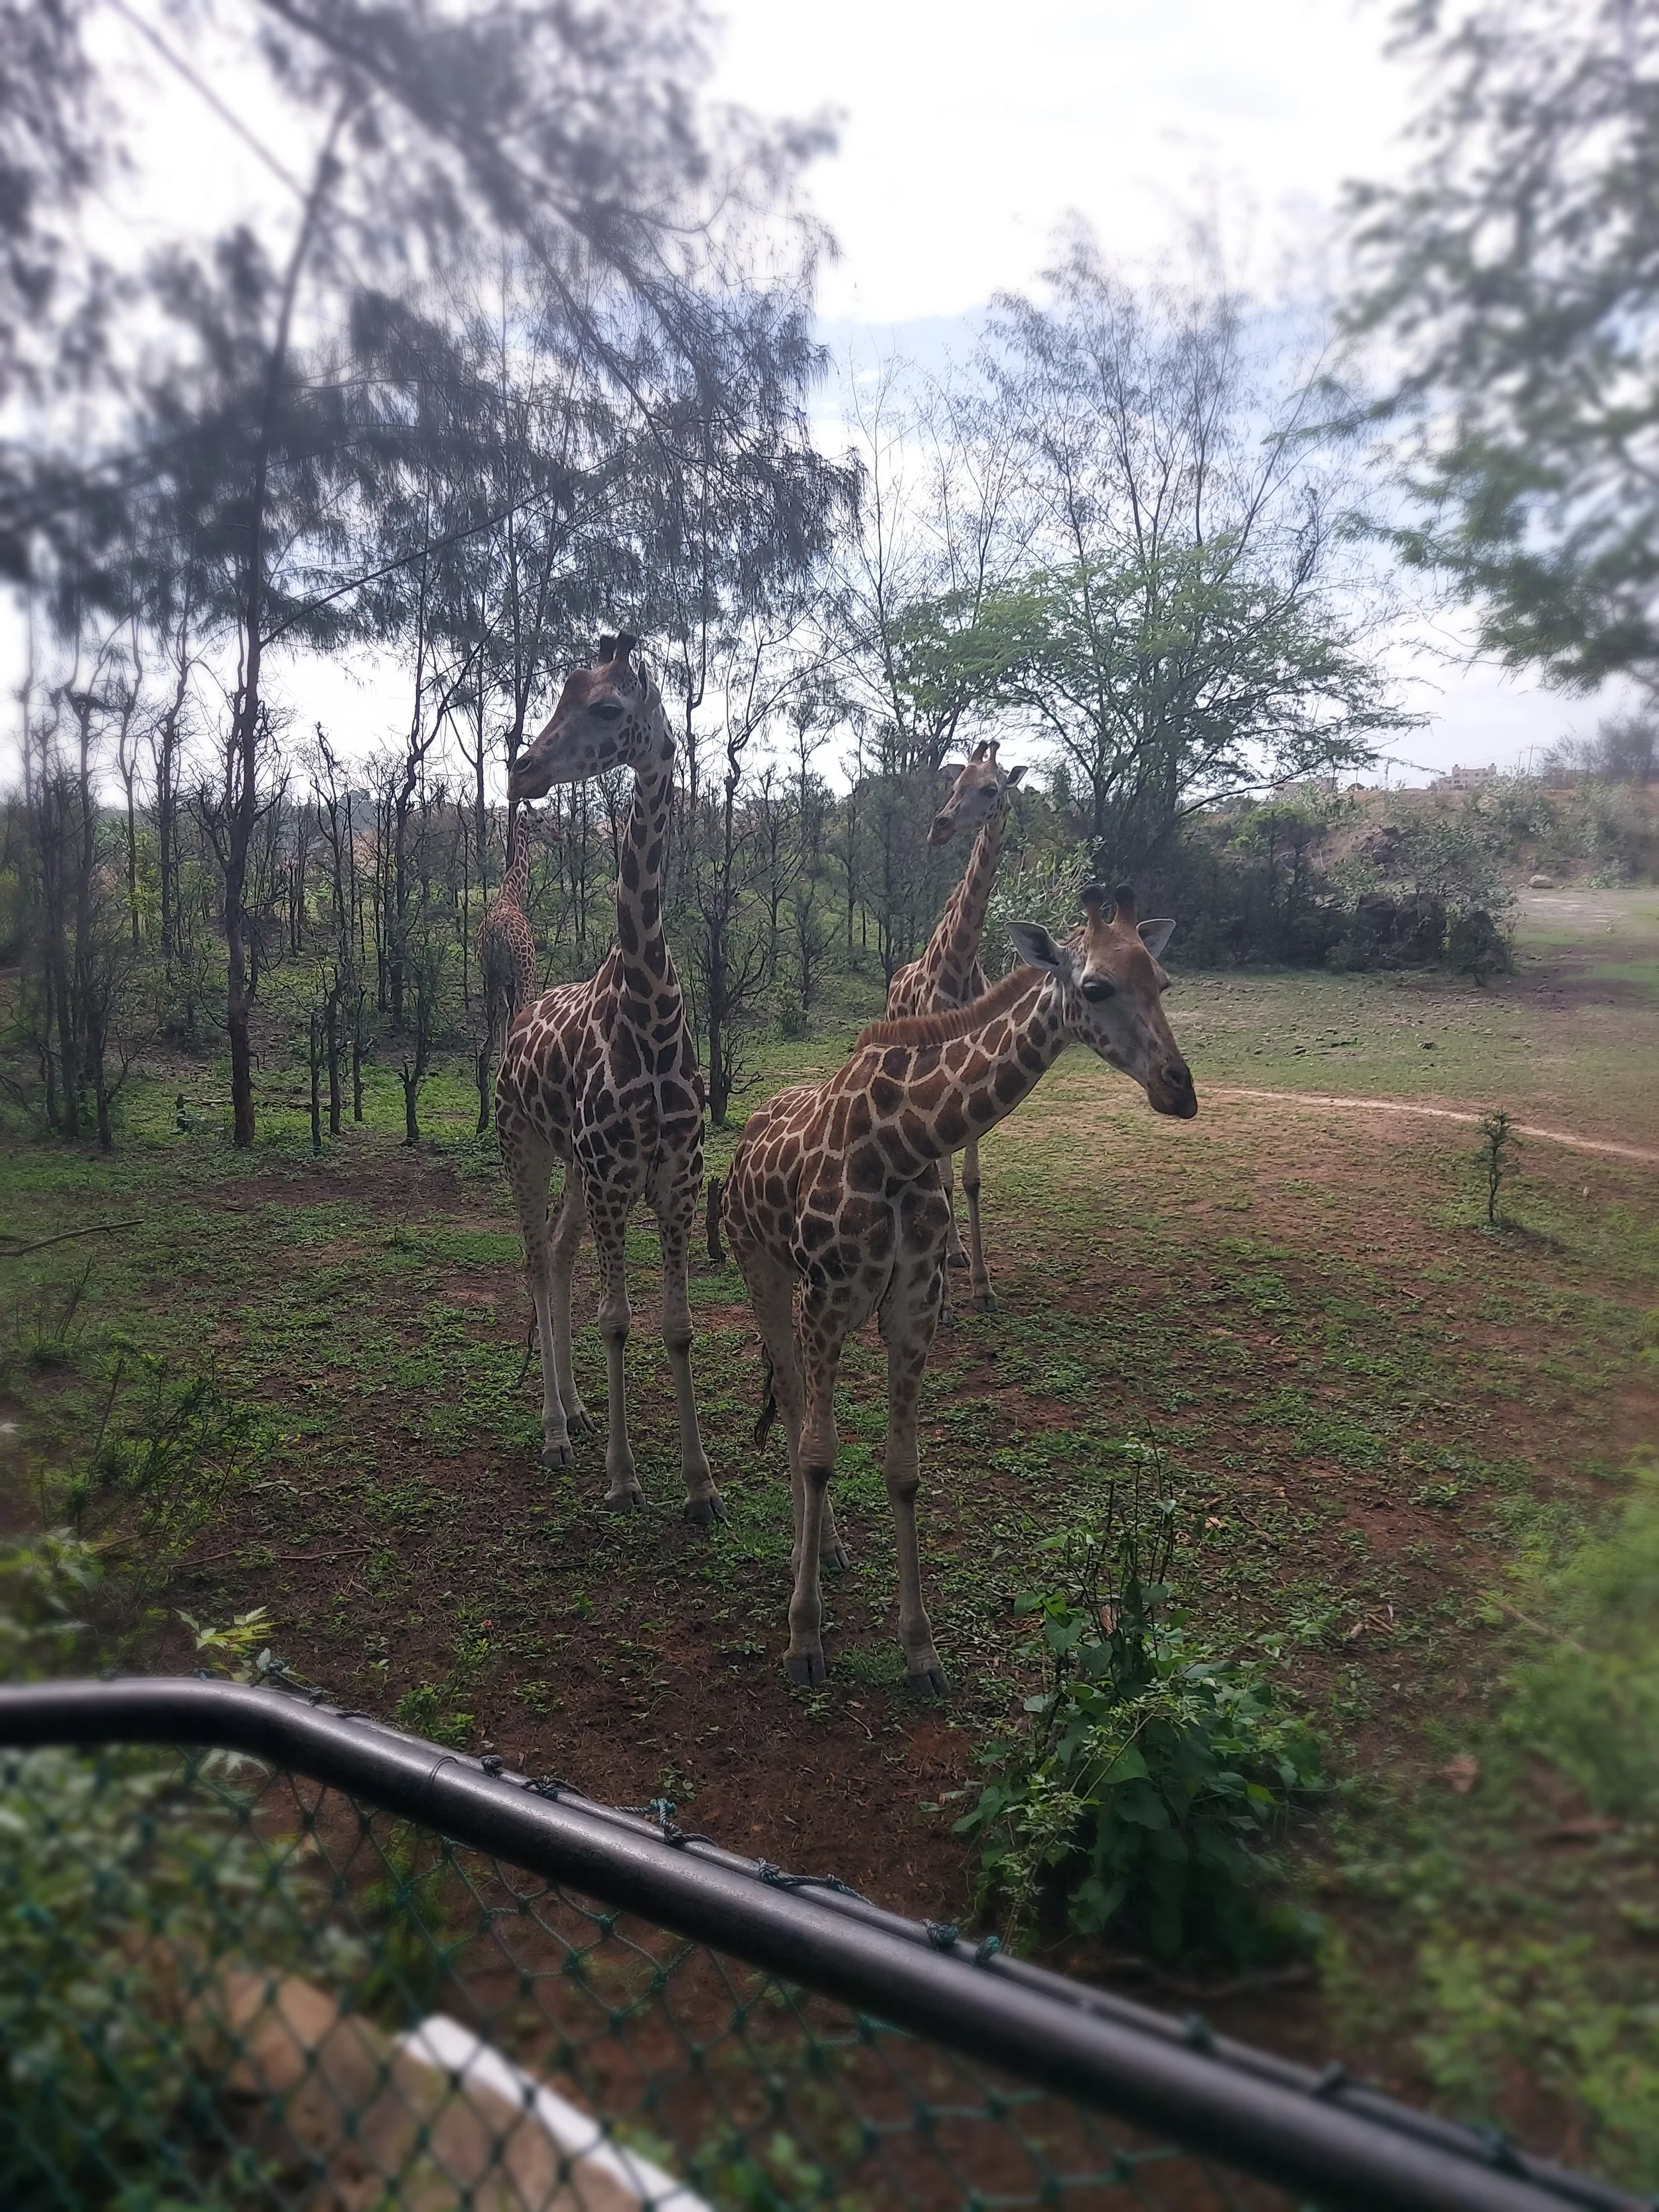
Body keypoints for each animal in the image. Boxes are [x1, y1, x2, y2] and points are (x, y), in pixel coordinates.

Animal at [494, 634, 720, 1522]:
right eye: (561, 695)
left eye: (608, 708)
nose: (521, 768)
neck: (649, 1006)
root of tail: (516, 1022)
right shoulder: (618, 1178)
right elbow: (618, 1319)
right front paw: (624, 1481)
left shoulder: (674, 1177)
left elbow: (678, 1327)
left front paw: (699, 1486)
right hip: (525, 1145)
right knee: (531, 1258)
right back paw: (555, 1432)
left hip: (574, 1167)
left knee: (556, 1254)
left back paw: (579, 1411)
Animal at [722, 883, 1195, 1694]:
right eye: (1096, 985)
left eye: (1163, 982)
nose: (1180, 1091)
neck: (902, 1143)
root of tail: (746, 1134)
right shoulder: (825, 1302)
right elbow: (820, 1454)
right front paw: (804, 1639)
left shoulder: (913, 1308)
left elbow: (904, 1471)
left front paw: (921, 1652)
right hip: (764, 1268)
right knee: (790, 1398)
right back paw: (808, 1553)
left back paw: (830, 1547)